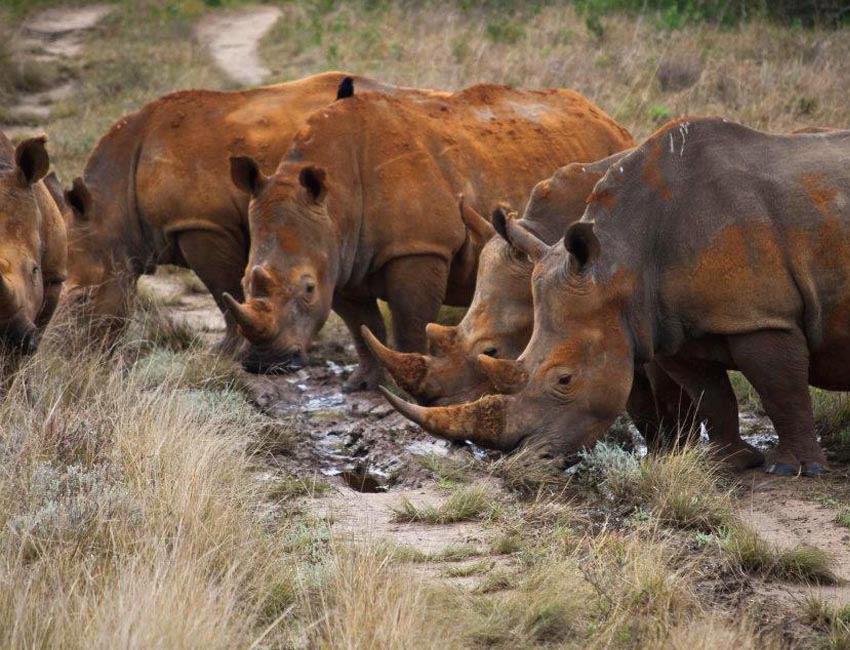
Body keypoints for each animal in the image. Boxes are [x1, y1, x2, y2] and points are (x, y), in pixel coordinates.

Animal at [61, 72, 400, 347]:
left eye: (82, 299)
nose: (69, 354)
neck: (112, 207)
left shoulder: (205, 224)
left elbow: (225, 290)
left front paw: (227, 351)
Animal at [223, 81, 634, 391]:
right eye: (242, 282)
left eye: (307, 287)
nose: (265, 364)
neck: (335, 201)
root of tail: (608, 118)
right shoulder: (340, 260)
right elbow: (361, 326)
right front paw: (361, 385)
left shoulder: (418, 250)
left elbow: (409, 320)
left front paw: (399, 387)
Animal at [382, 118, 850, 476]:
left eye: (491, 352)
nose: (523, 460)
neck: (621, 258)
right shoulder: (662, 326)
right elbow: (702, 394)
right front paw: (717, 463)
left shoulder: (759, 316)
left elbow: (779, 389)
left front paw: (792, 469)